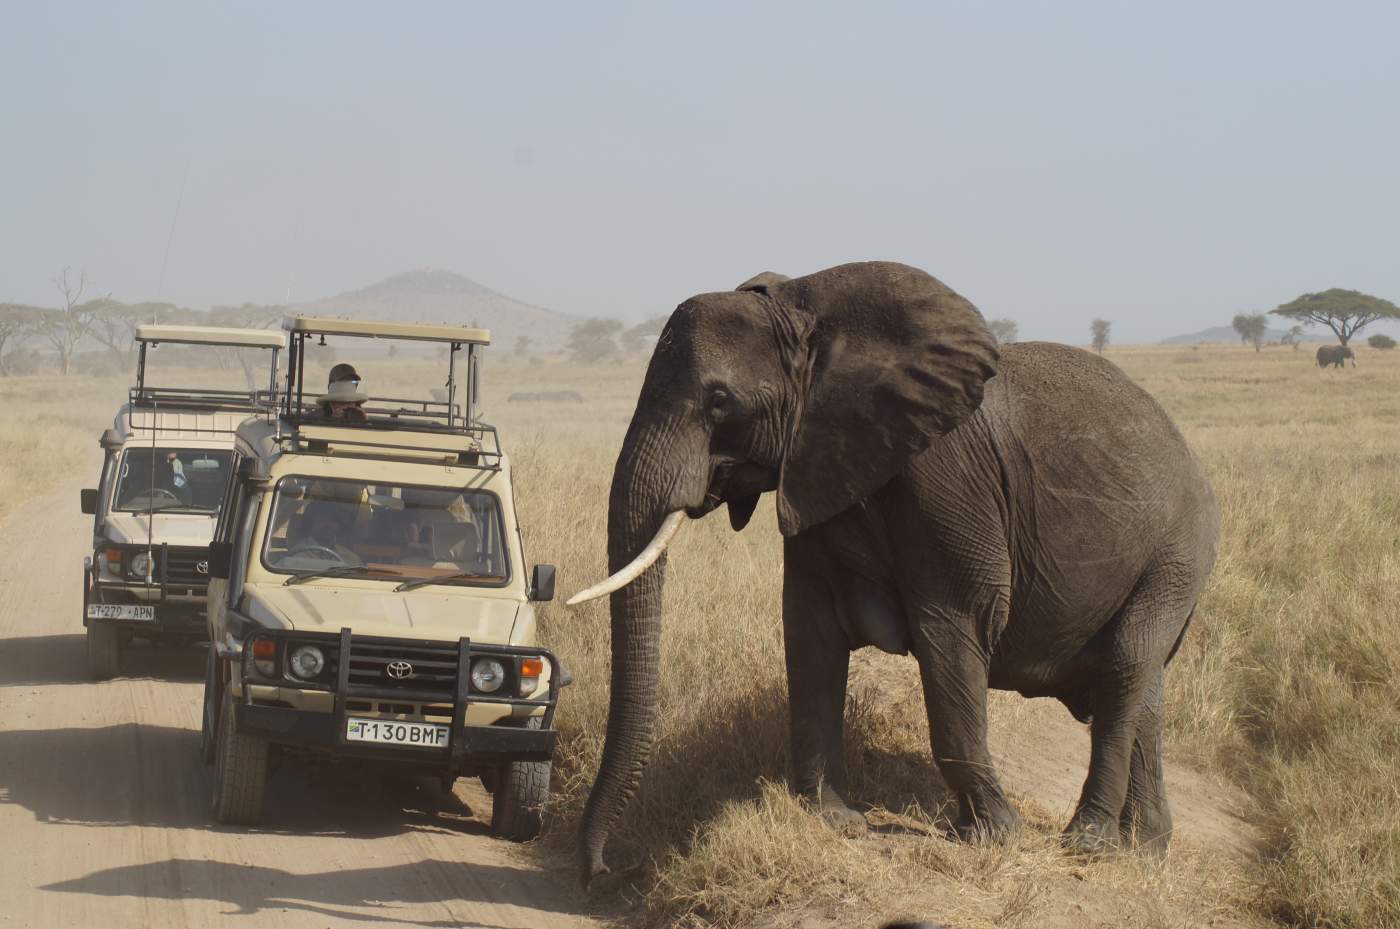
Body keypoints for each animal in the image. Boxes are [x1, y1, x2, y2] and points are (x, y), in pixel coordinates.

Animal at [568, 261, 1215, 884]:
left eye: (720, 401)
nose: (604, 871)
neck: (806, 313)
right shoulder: (818, 469)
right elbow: (811, 632)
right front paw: (833, 819)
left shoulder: (946, 479)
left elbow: (954, 627)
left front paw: (995, 835)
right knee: (1140, 684)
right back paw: (1146, 851)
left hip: (1178, 555)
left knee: (1126, 664)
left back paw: (1090, 843)